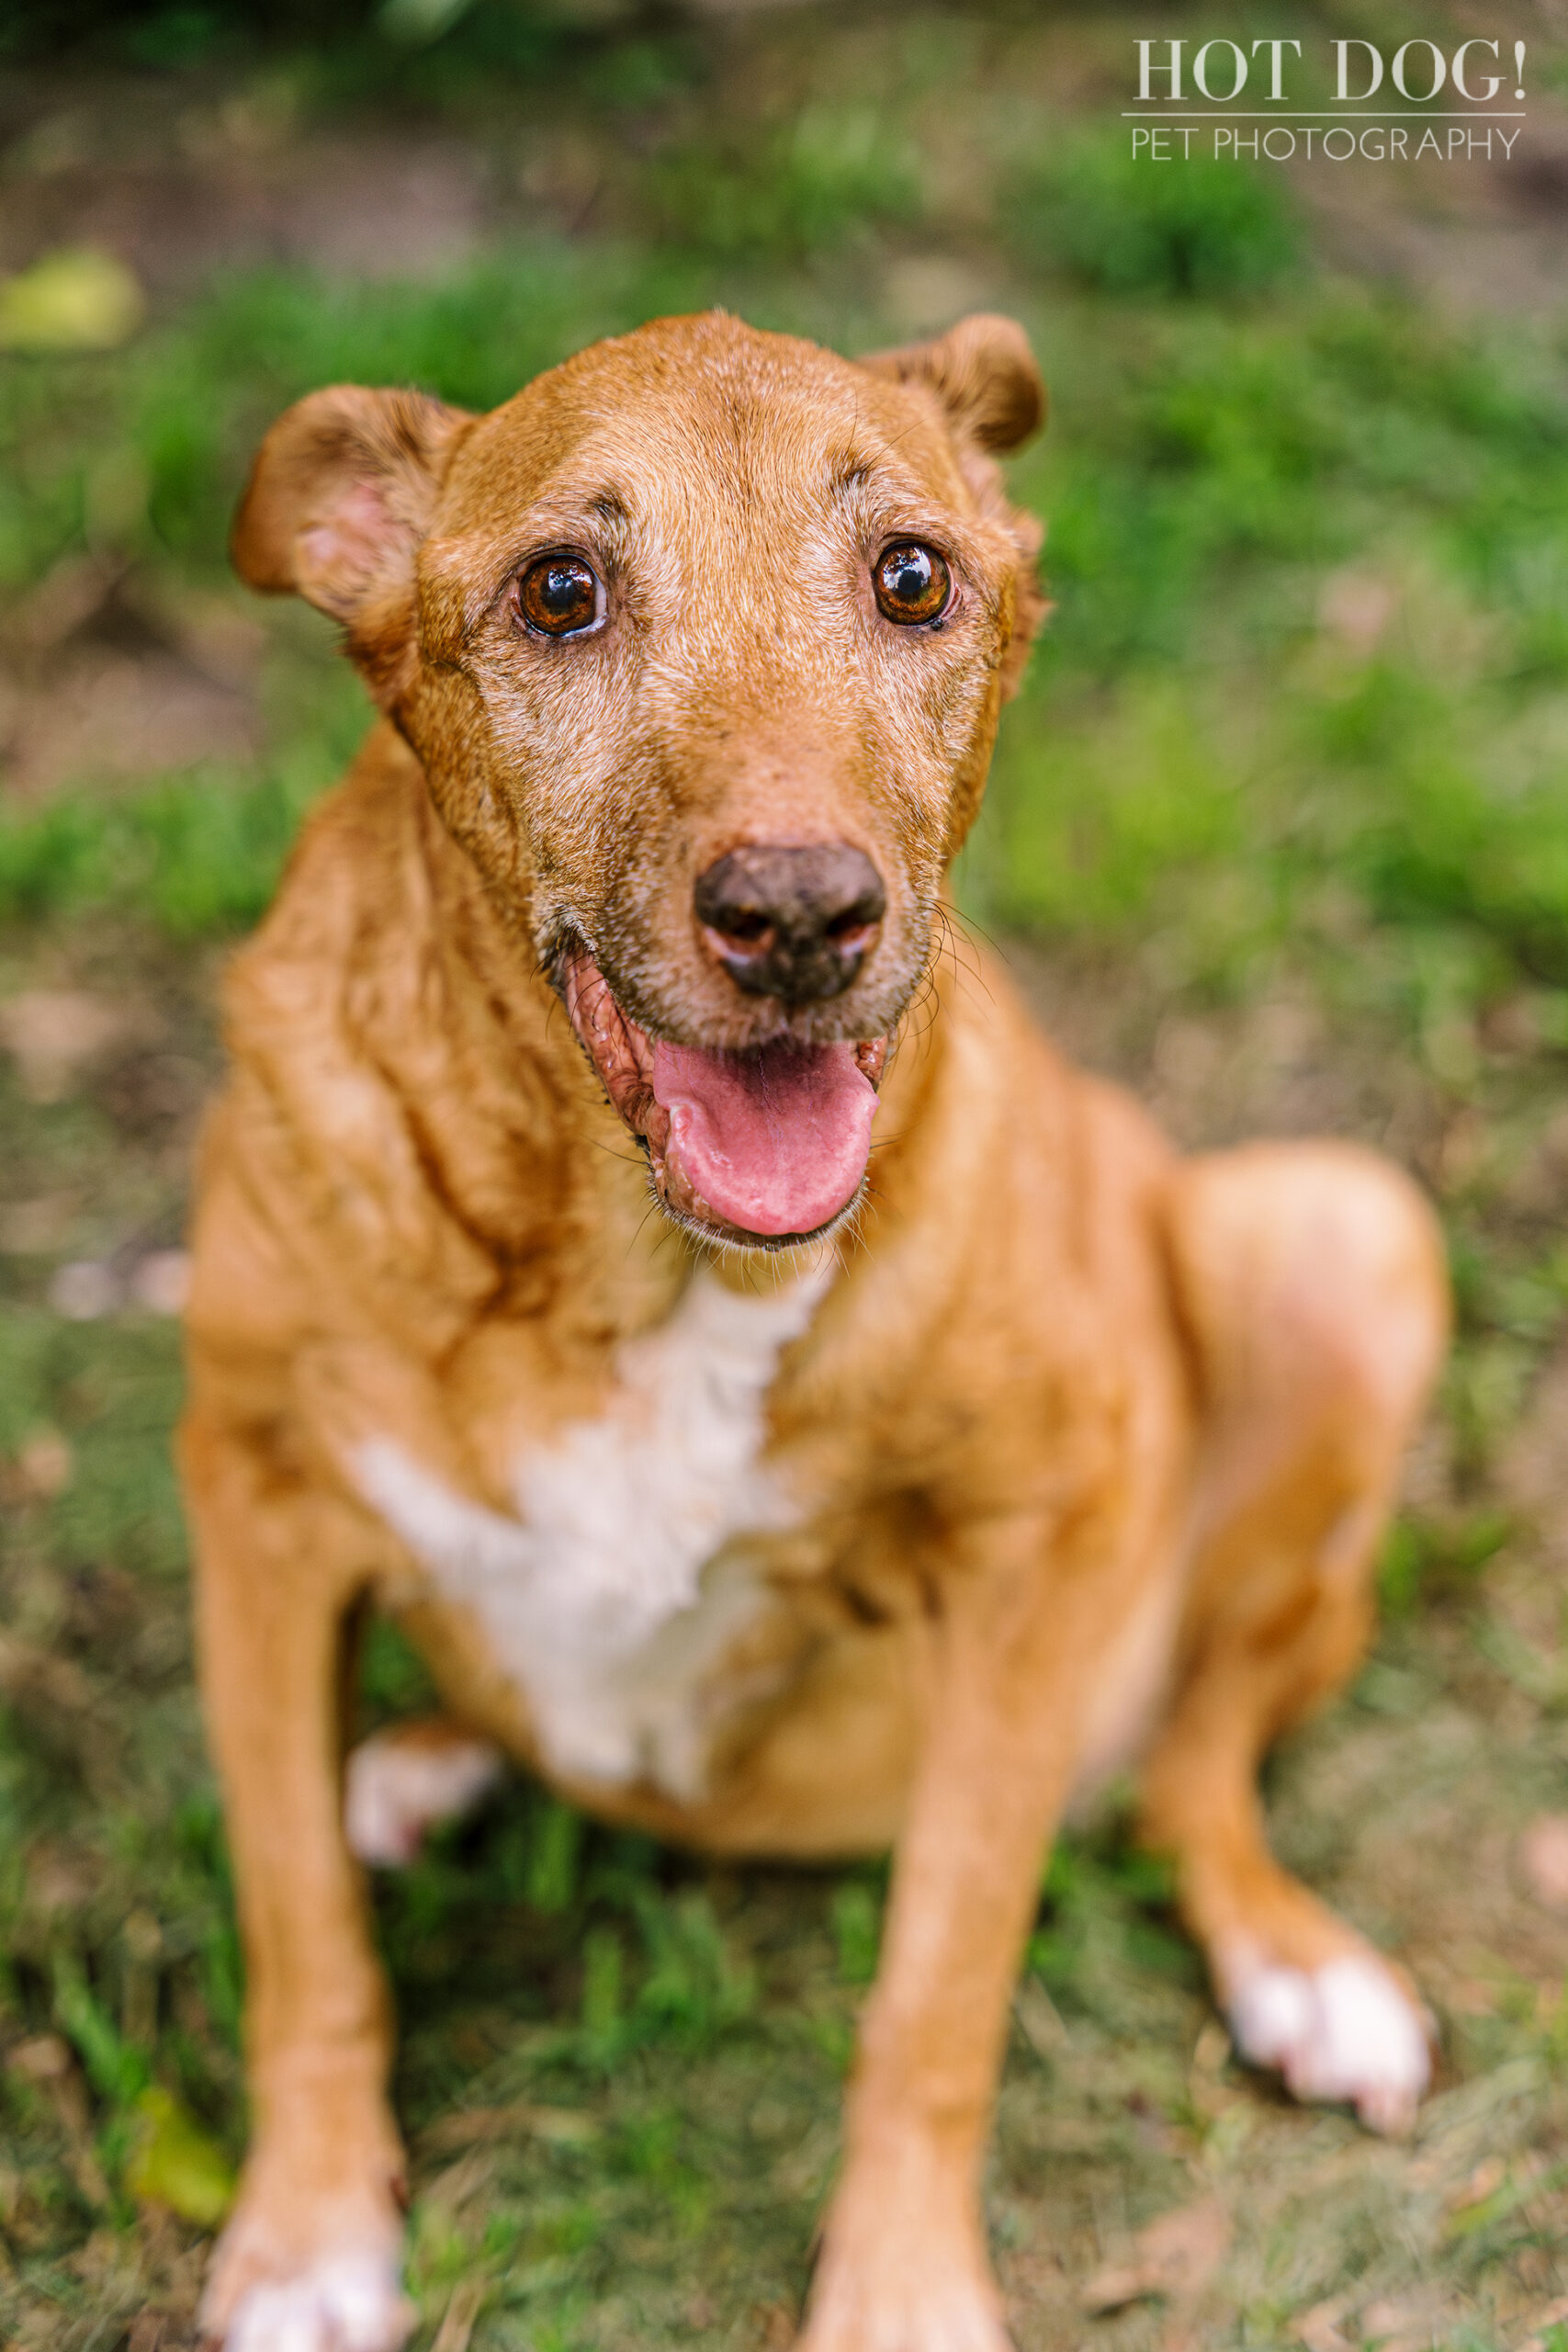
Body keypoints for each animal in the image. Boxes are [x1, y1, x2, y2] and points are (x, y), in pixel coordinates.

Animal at [181, 317, 1448, 2352]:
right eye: (558, 591)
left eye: (911, 577)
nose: (798, 917)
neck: (640, 1259)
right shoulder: (253, 1495)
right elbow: (299, 1919)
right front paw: (304, 2236)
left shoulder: (1033, 1547)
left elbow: (936, 1986)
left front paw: (903, 2288)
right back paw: (428, 1753)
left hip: (1343, 1234)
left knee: (1195, 1761)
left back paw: (1301, 1971)